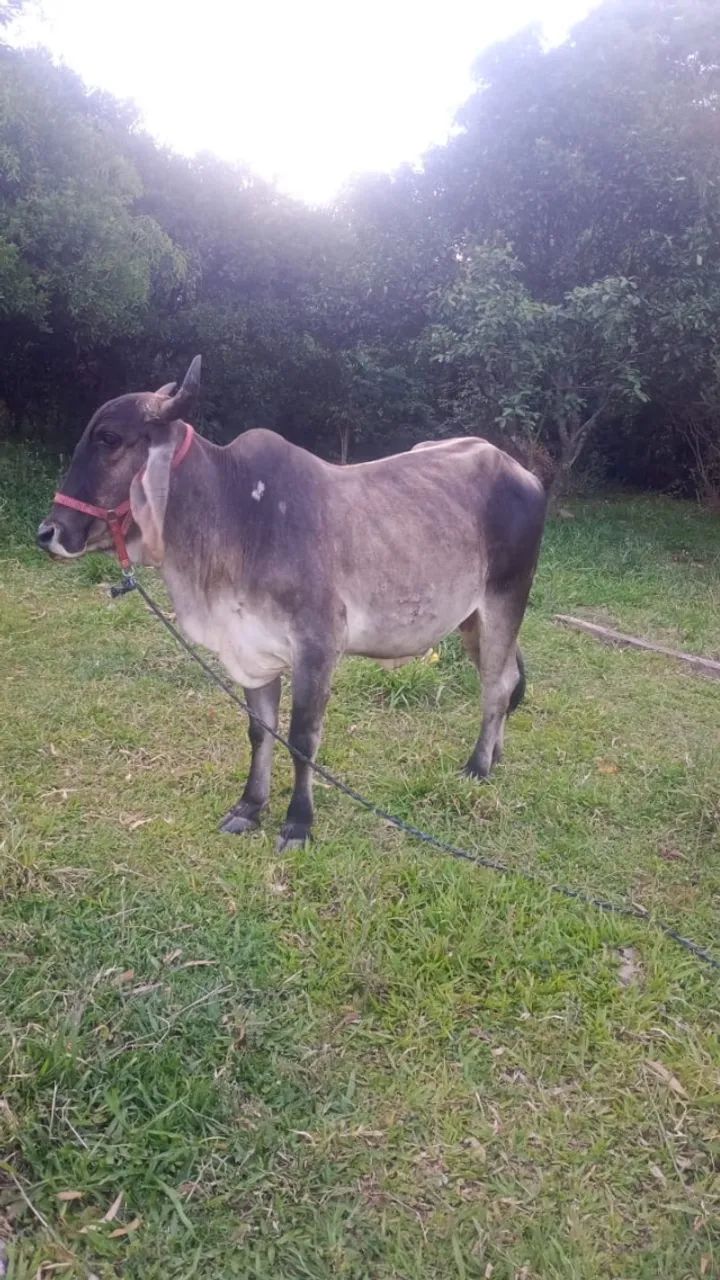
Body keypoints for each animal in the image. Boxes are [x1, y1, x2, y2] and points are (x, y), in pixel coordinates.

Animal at [38, 357, 547, 850]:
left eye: (109, 439)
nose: (49, 532)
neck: (235, 514)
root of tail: (522, 471)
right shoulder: (251, 647)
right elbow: (260, 730)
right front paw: (249, 807)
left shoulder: (317, 646)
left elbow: (302, 738)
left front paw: (298, 823)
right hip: (470, 618)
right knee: (505, 679)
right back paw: (495, 755)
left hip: (505, 598)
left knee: (496, 684)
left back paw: (477, 766)